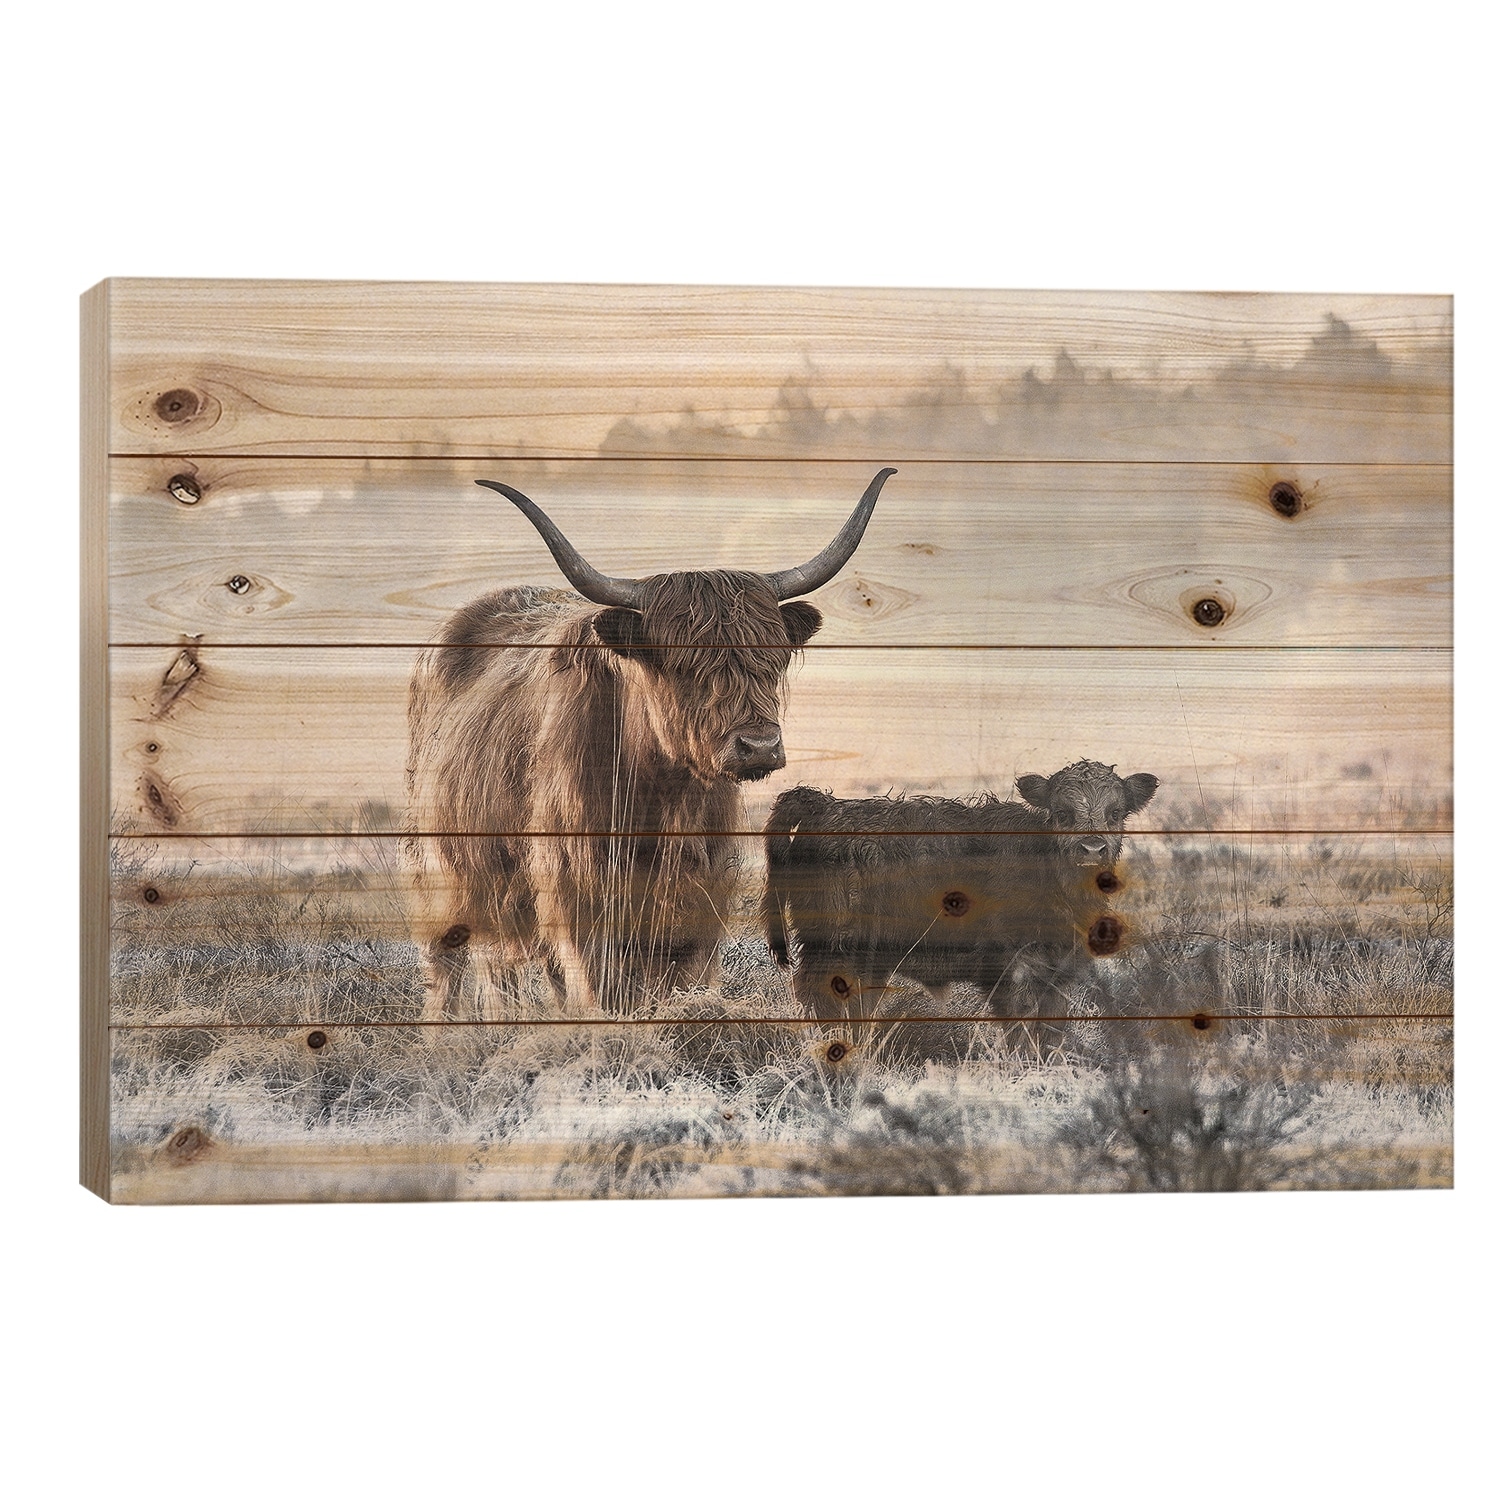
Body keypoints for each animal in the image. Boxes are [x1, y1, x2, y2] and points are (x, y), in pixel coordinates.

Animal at [405, 468, 897, 1019]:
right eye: (683, 664)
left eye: (772, 659)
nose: (760, 745)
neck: (663, 797)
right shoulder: (576, 892)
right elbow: (598, 984)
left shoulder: (703, 895)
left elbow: (685, 975)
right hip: (442, 877)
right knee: (453, 965)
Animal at [762, 760, 1159, 1020]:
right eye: (1062, 813)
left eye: (1115, 813)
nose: (1092, 848)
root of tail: (825, 805)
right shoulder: (1012, 970)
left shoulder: (1058, 973)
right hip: (835, 948)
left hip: (869, 960)